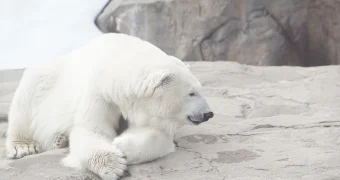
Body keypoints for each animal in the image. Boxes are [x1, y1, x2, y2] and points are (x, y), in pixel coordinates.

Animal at [4, 33, 212, 179]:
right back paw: (23, 146)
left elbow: (156, 133)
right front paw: (114, 164)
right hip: (44, 80)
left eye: (200, 89)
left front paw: (122, 145)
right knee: (26, 102)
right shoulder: (99, 92)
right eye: (191, 93)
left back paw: (60, 139)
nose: (208, 113)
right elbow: (91, 129)